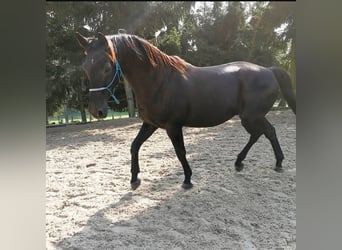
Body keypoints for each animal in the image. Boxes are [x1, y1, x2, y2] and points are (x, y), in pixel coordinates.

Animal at [76, 32, 296, 190]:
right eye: (85, 67)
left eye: (107, 67)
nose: (96, 110)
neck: (158, 80)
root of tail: (269, 70)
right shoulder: (151, 124)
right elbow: (134, 145)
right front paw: (134, 178)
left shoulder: (173, 126)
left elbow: (180, 151)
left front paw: (188, 180)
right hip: (249, 118)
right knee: (260, 134)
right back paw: (241, 162)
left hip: (251, 117)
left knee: (268, 132)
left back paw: (276, 163)